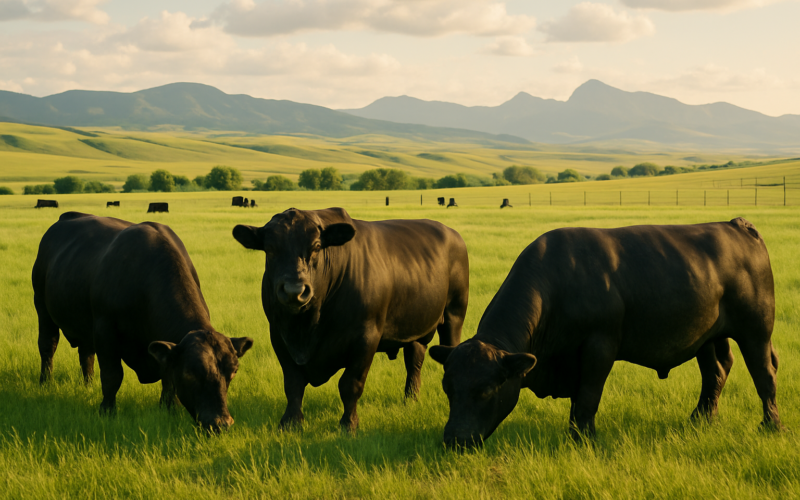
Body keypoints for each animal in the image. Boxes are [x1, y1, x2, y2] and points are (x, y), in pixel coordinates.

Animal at [32, 212, 254, 432]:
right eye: (190, 373)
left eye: (233, 372)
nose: (221, 423)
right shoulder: (105, 329)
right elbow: (112, 375)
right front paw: (107, 410)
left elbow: (168, 380)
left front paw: (169, 409)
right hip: (42, 306)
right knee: (48, 345)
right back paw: (45, 382)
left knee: (86, 353)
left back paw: (88, 385)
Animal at [233, 207, 469, 432]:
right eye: (270, 249)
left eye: (316, 247)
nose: (294, 291)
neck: (307, 325)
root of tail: (453, 234)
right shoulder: (279, 336)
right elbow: (293, 384)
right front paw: (290, 423)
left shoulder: (366, 338)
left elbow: (350, 384)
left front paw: (349, 424)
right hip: (416, 328)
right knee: (414, 361)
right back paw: (410, 400)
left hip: (454, 314)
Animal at [430, 218, 782, 448]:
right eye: (448, 388)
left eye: (487, 390)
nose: (454, 441)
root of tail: (736, 224)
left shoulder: (599, 346)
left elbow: (587, 396)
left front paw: (581, 439)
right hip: (707, 337)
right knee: (716, 371)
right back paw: (700, 421)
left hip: (757, 330)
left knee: (764, 375)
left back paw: (771, 426)